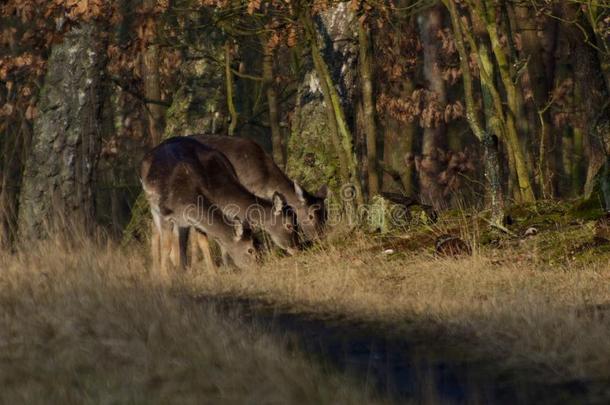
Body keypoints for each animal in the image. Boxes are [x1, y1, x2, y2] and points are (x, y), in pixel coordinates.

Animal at [138, 137, 300, 274]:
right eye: (289, 225)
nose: (296, 248)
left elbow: (204, 241)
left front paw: (216, 273)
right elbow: (171, 244)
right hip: (153, 205)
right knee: (156, 232)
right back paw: (157, 271)